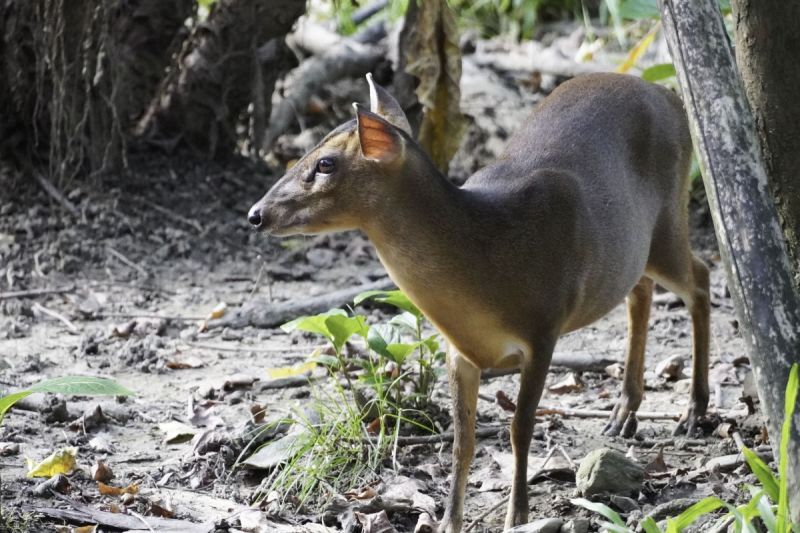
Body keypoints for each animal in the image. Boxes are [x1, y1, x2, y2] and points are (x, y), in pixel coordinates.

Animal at [247, 72, 708, 528]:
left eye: (325, 163)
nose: (256, 214)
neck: (488, 265)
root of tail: (669, 96)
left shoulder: (544, 327)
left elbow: (520, 427)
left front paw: (516, 514)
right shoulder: (459, 351)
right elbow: (462, 440)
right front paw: (448, 520)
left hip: (668, 220)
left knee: (700, 279)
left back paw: (692, 412)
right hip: (632, 249)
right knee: (640, 289)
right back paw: (624, 412)